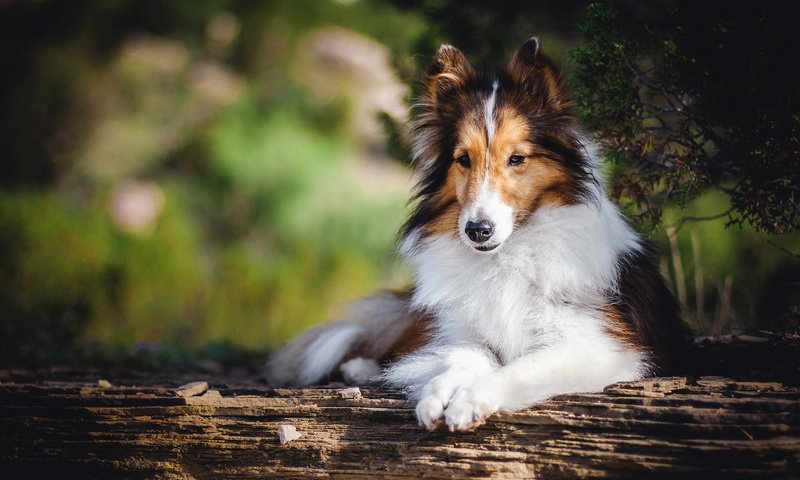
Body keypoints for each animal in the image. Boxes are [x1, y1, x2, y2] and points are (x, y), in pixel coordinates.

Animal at [266, 38, 684, 432]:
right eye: (463, 159)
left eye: (516, 159)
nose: (478, 231)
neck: (507, 256)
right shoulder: (465, 335)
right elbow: (464, 358)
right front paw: (438, 394)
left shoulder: (601, 347)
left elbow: (520, 367)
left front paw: (470, 400)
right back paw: (363, 368)